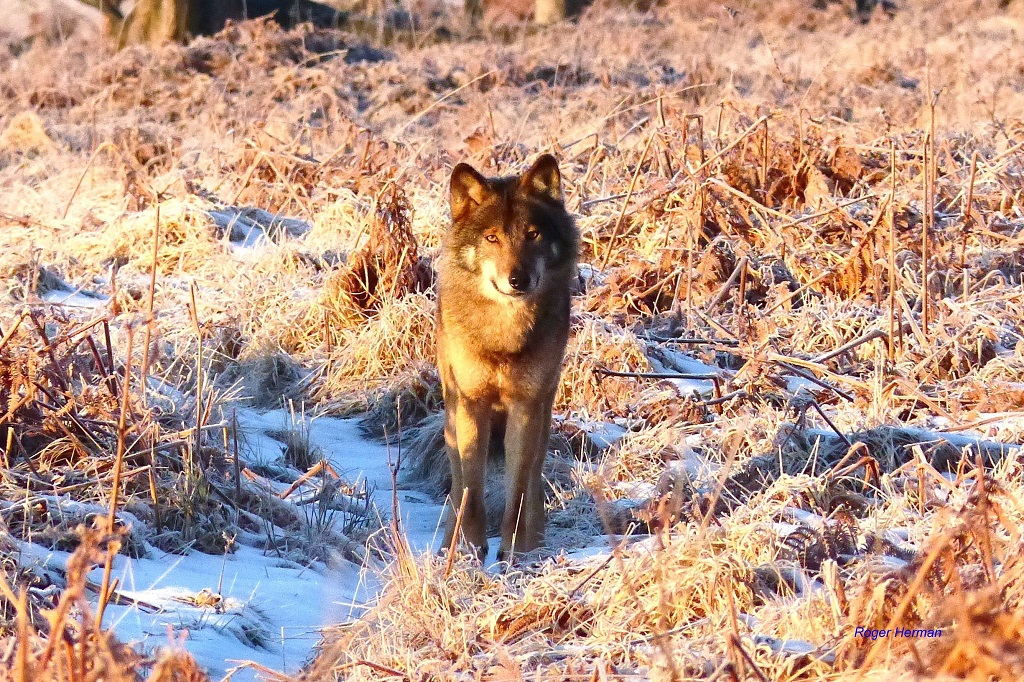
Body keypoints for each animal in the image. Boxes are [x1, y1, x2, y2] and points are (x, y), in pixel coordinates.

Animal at [436, 156, 581, 561]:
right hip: (452, 412)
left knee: (532, 480)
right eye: (491, 238)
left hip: (543, 413)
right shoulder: (471, 404)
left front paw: (513, 552)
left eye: (533, 235)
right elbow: (471, 491)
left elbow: (517, 492)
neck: (504, 336)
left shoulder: (526, 407)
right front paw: (471, 551)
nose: (518, 279)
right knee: (457, 482)